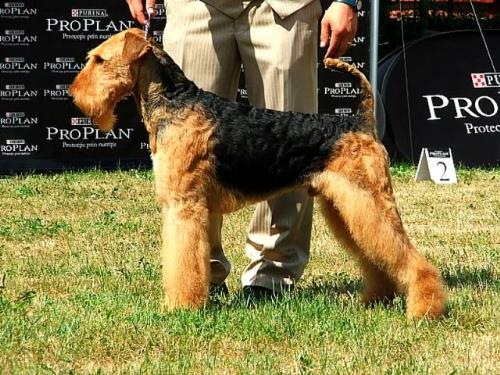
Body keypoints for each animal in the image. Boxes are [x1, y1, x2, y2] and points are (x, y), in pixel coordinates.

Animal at [69, 28, 446, 320]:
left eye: (99, 60)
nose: (74, 95)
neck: (174, 102)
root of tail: (361, 120)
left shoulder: (184, 206)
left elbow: (183, 263)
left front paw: (179, 307)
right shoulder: (191, 207)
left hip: (367, 200)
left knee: (407, 255)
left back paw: (424, 310)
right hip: (345, 206)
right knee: (377, 255)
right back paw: (375, 299)